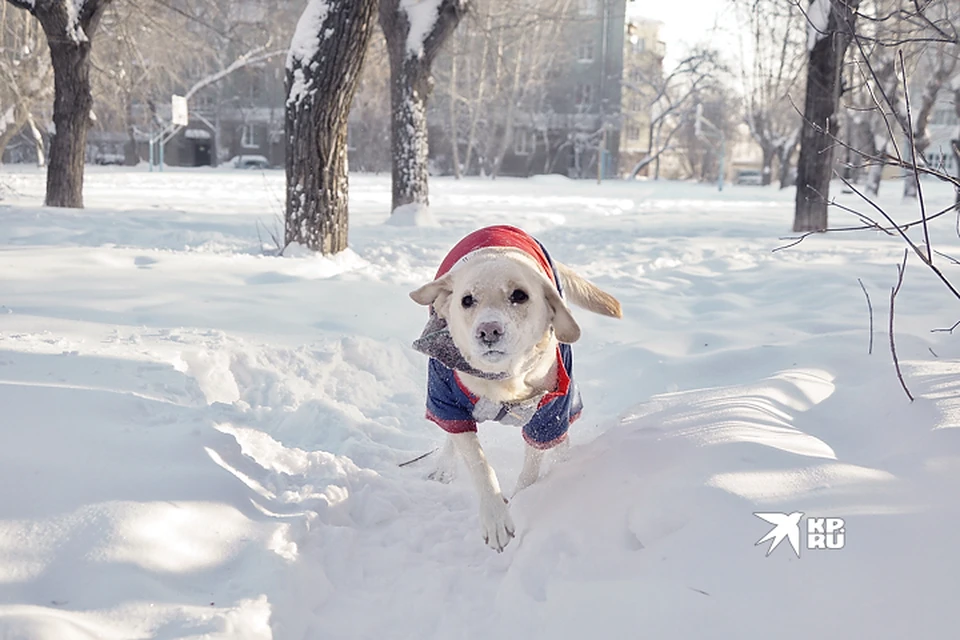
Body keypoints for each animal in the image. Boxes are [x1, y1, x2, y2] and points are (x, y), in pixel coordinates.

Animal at [406, 225, 624, 552]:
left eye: (520, 295)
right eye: (467, 300)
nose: (489, 331)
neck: (502, 380)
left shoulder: (550, 411)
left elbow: (532, 466)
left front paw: (525, 500)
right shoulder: (445, 397)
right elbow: (479, 463)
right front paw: (496, 519)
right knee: (451, 434)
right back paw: (445, 467)